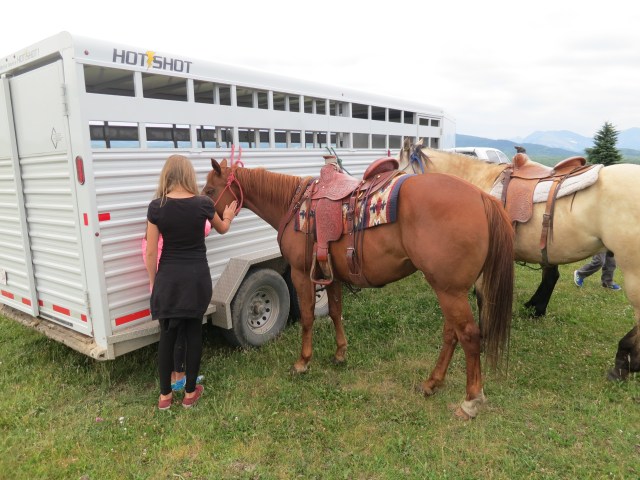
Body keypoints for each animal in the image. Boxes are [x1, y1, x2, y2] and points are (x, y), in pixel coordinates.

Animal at [203, 157, 515, 419]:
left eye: (209, 189)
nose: (209, 221)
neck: (293, 206)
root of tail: (483, 197)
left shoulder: (302, 275)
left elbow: (307, 317)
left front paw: (303, 362)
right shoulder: (330, 275)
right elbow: (335, 312)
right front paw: (340, 353)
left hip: (449, 291)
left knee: (469, 336)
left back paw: (470, 401)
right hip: (449, 289)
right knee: (452, 334)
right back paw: (431, 382)